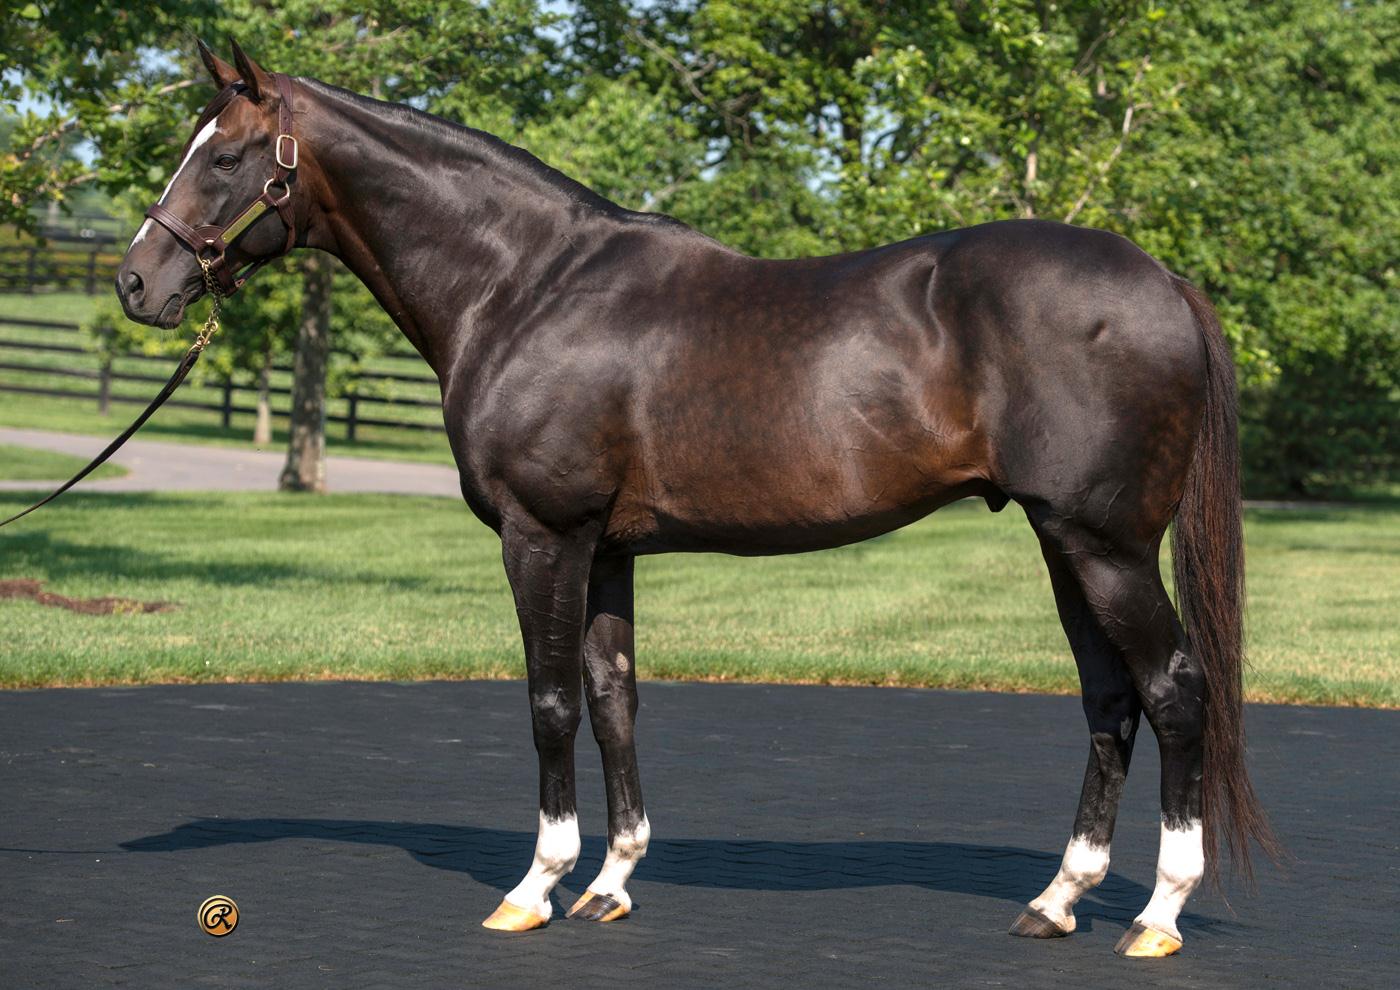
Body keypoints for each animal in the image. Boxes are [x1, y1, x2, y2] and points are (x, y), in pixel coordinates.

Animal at [120, 42, 1282, 957]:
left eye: (225, 156)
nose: (138, 283)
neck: (524, 286)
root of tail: (1162, 282)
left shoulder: (543, 536)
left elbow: (548, 703)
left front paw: (534, 887)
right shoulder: (605, 549)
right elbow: (612, 698)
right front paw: (610, 883)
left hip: (1104, 544)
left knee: (1175, 690)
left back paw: (1157, 914)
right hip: (1063, 541)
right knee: (1110, 700)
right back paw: (1056, 901)